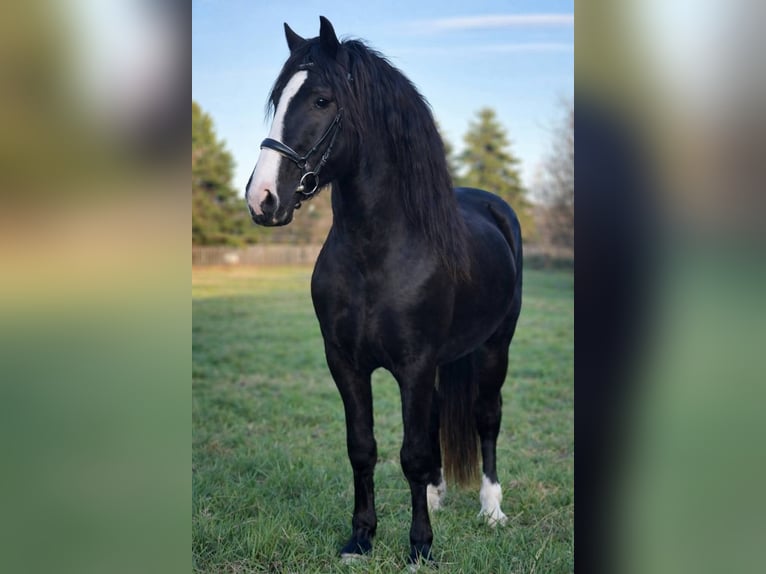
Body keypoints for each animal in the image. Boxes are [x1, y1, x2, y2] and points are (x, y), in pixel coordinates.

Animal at [245, 16, 523, 565]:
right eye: (278, 99)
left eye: (322, 100)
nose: (261, 198)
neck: (376, 254)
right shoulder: (345, 362)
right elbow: (363, 448)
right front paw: (360, 538)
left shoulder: (414, 364)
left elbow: (411, 452)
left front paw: (419, 547)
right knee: (436, 420)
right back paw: (436, 495)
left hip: (495, 347)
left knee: (486, 418)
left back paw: (492, 509)